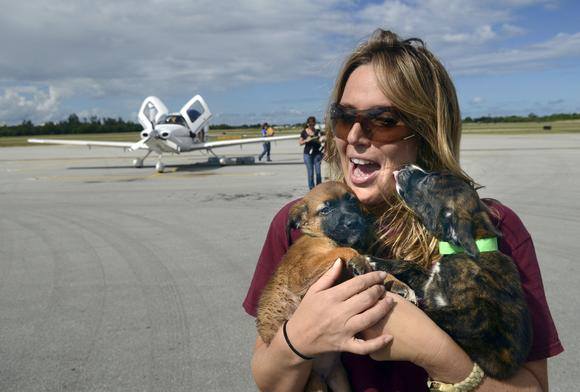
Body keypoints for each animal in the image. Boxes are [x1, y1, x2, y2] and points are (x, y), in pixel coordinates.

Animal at [256, 181, 374, 392]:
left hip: (339, 378)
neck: (318, 235)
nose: (354, 222)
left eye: (352, 201)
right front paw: (358, 259)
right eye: (325, 210)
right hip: (315, 383)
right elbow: (342, 250)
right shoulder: (301, 274)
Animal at [370, 165, 532, 380]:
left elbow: (433, 313)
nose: (406, 166)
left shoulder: (477, 316)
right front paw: (374, 261)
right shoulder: (428, 284)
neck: (461, 250)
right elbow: (409, 265)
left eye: (429, 181)